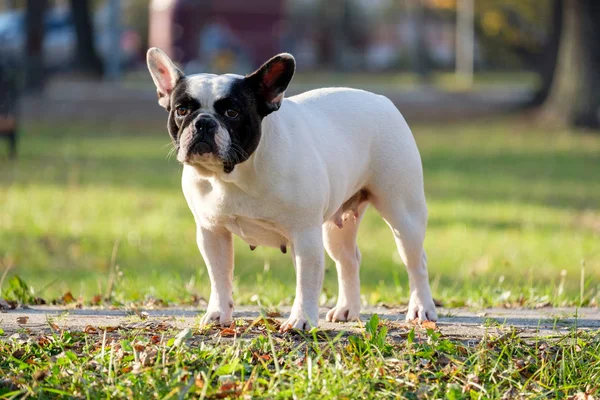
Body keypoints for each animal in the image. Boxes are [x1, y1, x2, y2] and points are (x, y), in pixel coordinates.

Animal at [145, 48, 436, 330]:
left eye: (232, 113)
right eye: (182, 110)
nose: (204, 122)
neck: (233, 175)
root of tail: (381, 100)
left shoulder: (305, 234)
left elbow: (306, 282)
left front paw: (301, 321)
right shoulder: (211, 232)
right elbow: (219, 277)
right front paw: (218, 315)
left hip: (402, 213)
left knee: (416, 262)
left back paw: (421, 309)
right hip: (334, 229)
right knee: (348, 260)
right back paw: (347, 309)